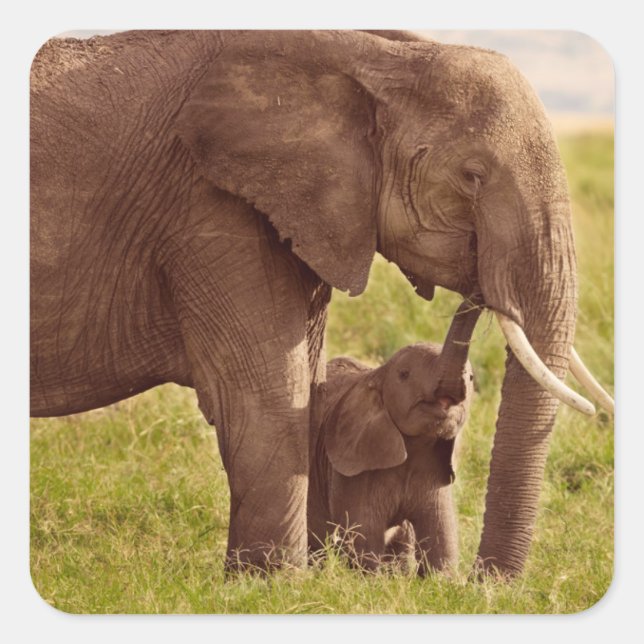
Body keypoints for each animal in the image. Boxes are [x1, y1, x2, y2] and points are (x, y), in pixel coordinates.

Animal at [307, 300, 479, 574]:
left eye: (472, 378)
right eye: (404, 374)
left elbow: (441, 540)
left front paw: (441, 580)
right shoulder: (354, 471)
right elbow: (364, 537)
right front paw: (370, 578)